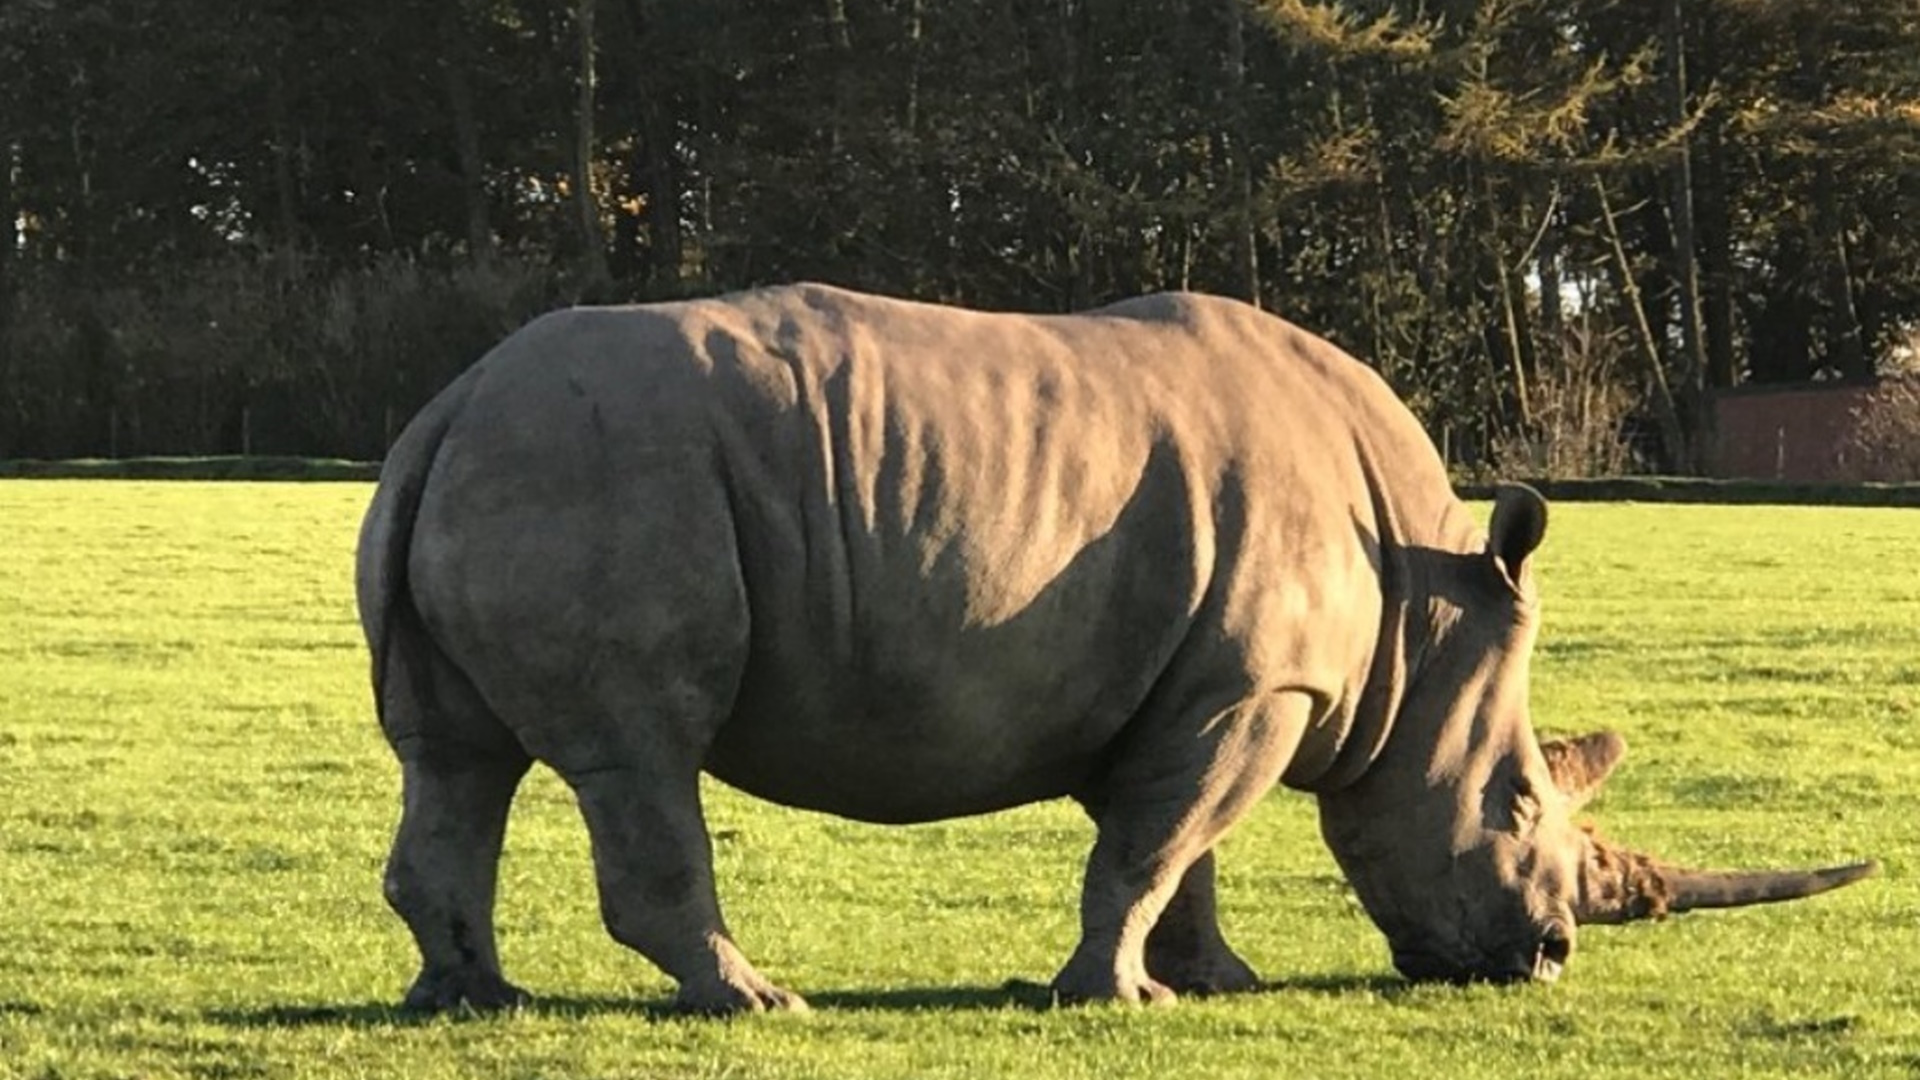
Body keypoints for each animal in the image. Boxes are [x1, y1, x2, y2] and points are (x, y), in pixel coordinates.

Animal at [356, 283, 1873, 1013]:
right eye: (1512, 803)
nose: (1547, 959)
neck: (1423, 608)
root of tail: (443, 408)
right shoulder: (1260, 686)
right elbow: (1154, 844)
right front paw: (1115, 1001)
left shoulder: (1210, 688)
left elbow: (1180, 847)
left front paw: (1211, 984)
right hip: (602, 475)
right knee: (637, 755)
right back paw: (758, 1003)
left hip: (510, 468)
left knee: (457, 759)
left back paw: (472, 1001)